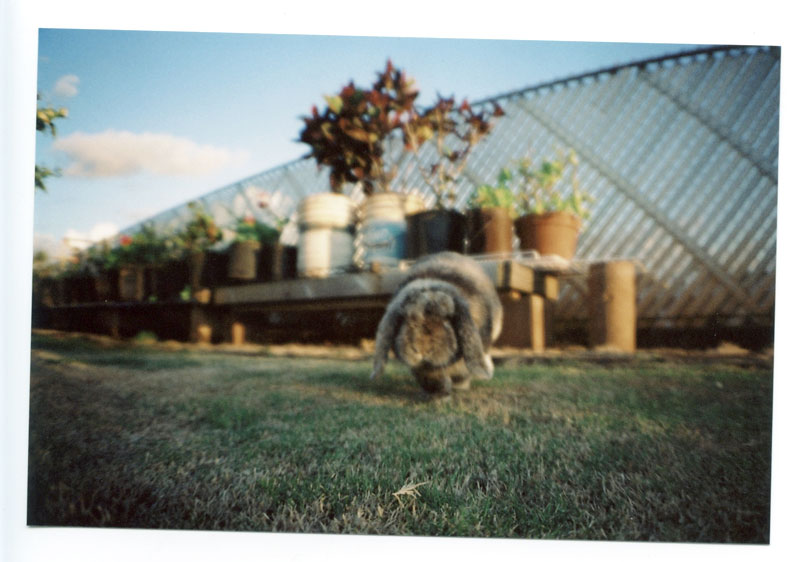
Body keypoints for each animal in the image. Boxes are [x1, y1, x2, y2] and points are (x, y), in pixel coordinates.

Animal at [370, 252, 500, 396]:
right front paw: (438, 392)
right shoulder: (422, 368)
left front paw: (457, 388)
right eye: (406, 319)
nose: (422, 350)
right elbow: (429, 376)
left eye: (446, 322)